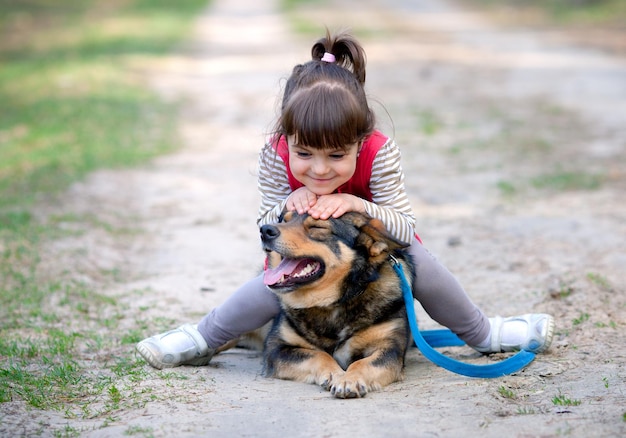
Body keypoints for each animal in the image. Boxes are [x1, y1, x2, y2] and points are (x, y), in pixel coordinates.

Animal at [256, 210, 412, 398]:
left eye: (317, 227)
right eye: (283, 220)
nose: (265, 230)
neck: (335, 303)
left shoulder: (390, 349)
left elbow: (362, 363)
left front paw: (349, 379)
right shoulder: (276, 348)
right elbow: (318, 355)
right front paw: (336, 373)